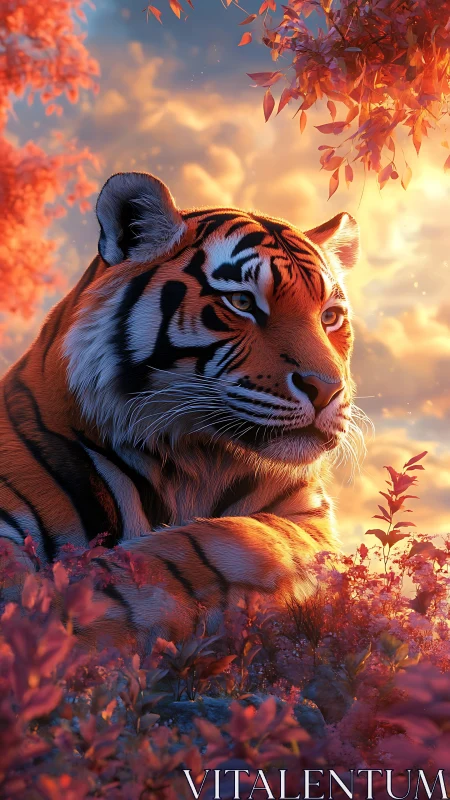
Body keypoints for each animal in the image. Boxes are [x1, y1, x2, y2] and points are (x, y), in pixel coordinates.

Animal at [0, 170, 362, 652]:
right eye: (242, 303)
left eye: (330, 316)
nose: (327, 390)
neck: (193, 458)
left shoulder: (309, 517)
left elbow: (237, 539)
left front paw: (79, 599)